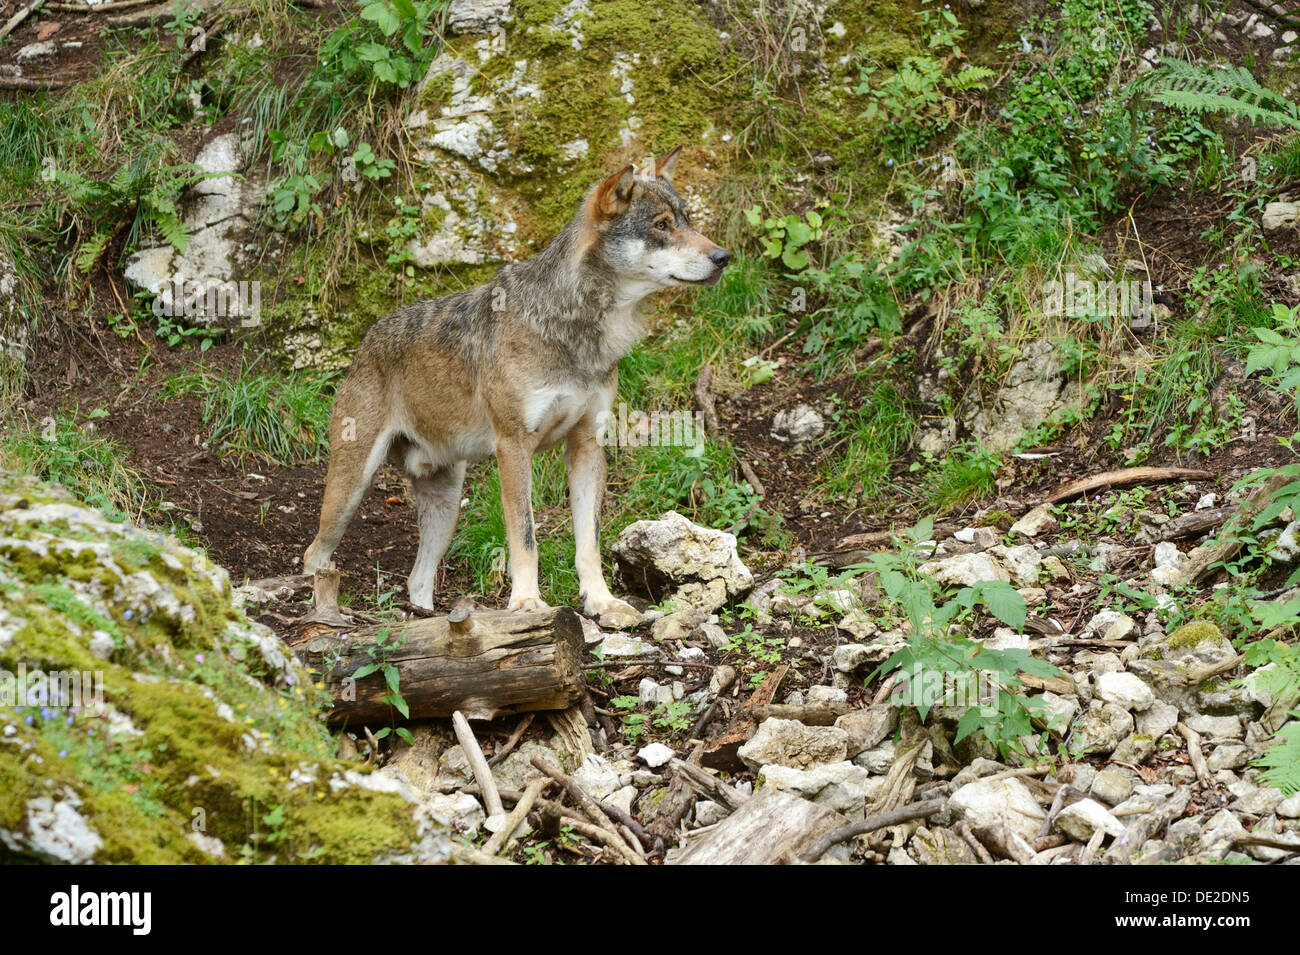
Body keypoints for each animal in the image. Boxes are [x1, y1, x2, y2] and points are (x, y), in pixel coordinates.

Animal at [302, 143, 733, 628]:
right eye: (661, 226)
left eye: (688, 219)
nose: (723, 257)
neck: (576, 326)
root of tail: (368, 339)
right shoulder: (513, 448)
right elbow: (525, 538)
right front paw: (527, 604)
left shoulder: (588, 447)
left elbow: (589, 544)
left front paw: (602, 603)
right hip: (351, 488)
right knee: (315, 555)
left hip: (444, 506)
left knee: (417, 579)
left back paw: (429, 622)